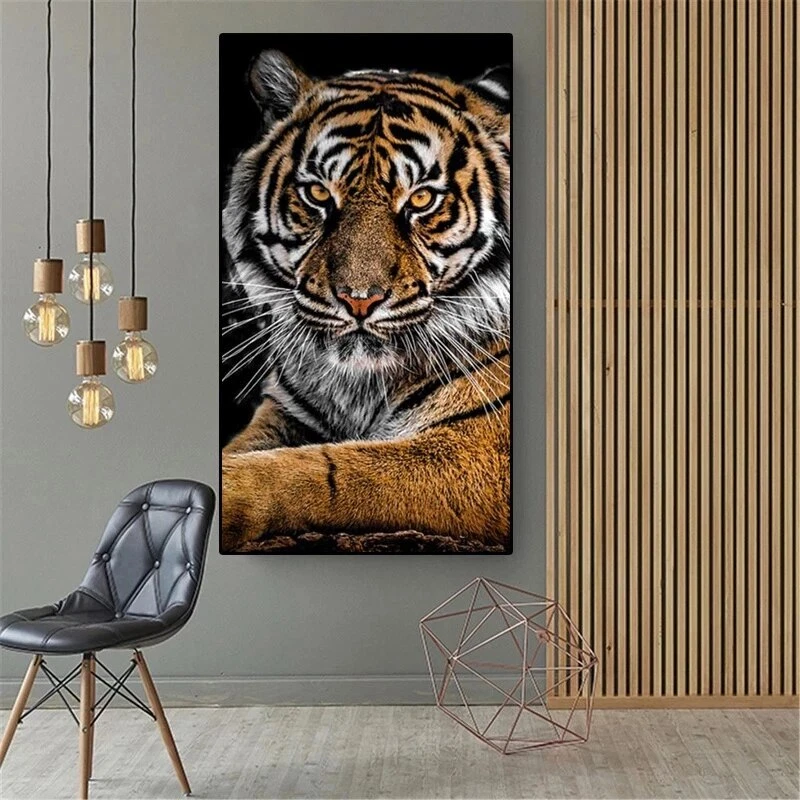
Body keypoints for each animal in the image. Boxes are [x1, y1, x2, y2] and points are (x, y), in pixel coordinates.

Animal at [221, 49, 511, 552]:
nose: (358, 300)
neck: (359, 387)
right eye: (318, 193)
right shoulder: (284, 412)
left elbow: (321, 472)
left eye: (421, 199)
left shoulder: (479, 449)